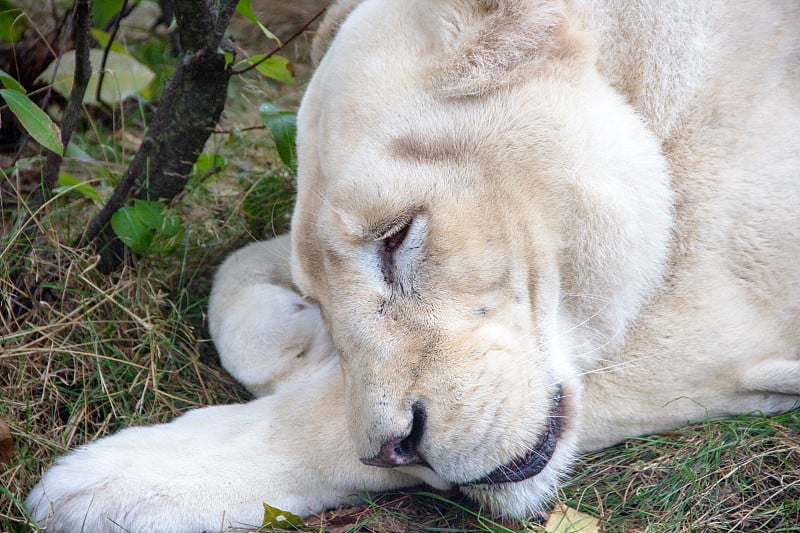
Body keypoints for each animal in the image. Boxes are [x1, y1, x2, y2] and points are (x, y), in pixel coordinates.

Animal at [25, 0, 800, 528]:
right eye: (325, 296)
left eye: (397, 237)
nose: (398, 449)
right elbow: (233, 272)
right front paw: (295, 336)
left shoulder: (724, 311)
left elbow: (317, 418)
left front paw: (109, 485)